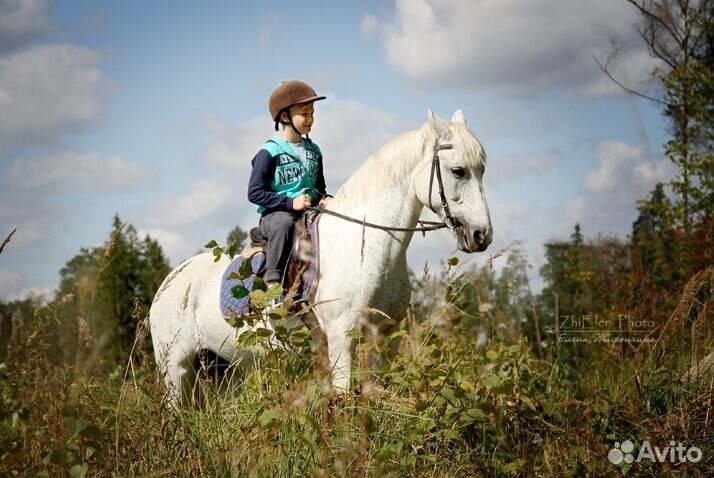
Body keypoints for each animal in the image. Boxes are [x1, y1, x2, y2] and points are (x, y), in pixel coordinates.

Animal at [147, 110, 492, 406]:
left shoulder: (385, 338)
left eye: (482, 171)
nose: (482, 235)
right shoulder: (341, 338)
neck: (364, 244)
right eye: (458, 171)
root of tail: (170, 281)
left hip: (223, 368)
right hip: (175, 369)